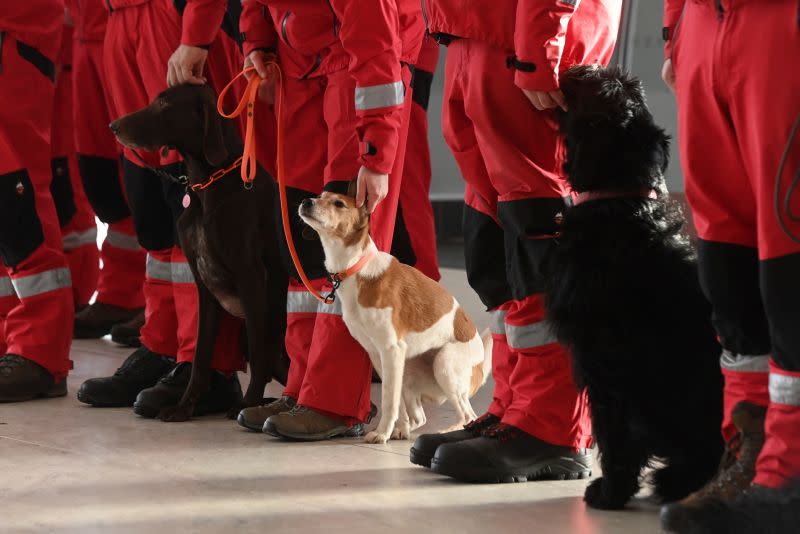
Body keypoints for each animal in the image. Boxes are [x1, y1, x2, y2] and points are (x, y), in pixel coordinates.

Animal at [298, 192, 490, 444]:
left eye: (339, 204)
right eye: (321, 196)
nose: (306, 201)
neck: (356, 266)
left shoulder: (391, 349)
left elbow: (389, 402)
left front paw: (381, 433)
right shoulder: (380, 356)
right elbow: (395, 401)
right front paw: (391, 430)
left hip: (444, 364)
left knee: (468, 416)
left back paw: (444, 433)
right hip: (408, 370)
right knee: (419, 416)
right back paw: (404, 430)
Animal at [544, 66, 724, 510]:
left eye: (601, 88)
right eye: (624, 87)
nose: (585, 67)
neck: (620, 203)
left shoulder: (605, 361)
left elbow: (614, 435)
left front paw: (610, 491)